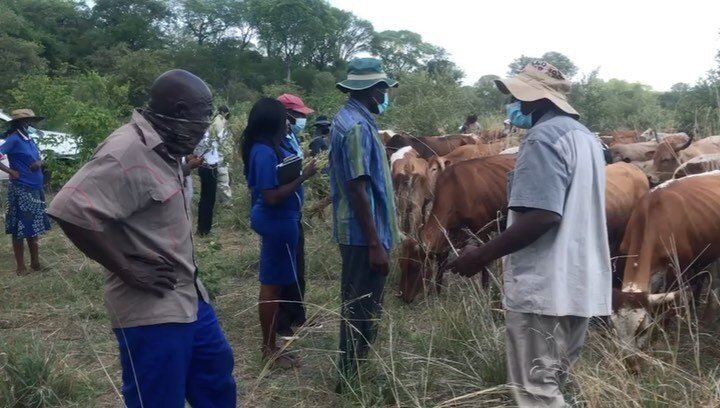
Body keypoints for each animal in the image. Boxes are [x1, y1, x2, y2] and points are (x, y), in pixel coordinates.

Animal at [398, 154, 516, 304]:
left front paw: (485, 293)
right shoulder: (448, 236)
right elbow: (441, 265)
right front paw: (436, 295)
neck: (456, 190)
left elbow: (484, 266)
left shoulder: (484, 233)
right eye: (401, 263)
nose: (404, 297)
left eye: (416, 266)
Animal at [612, 172, 720, 371]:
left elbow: (667, 304)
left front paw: (661, 336)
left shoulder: (679, 267)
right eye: (614, 329)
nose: (631, 366)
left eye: (642, 330)